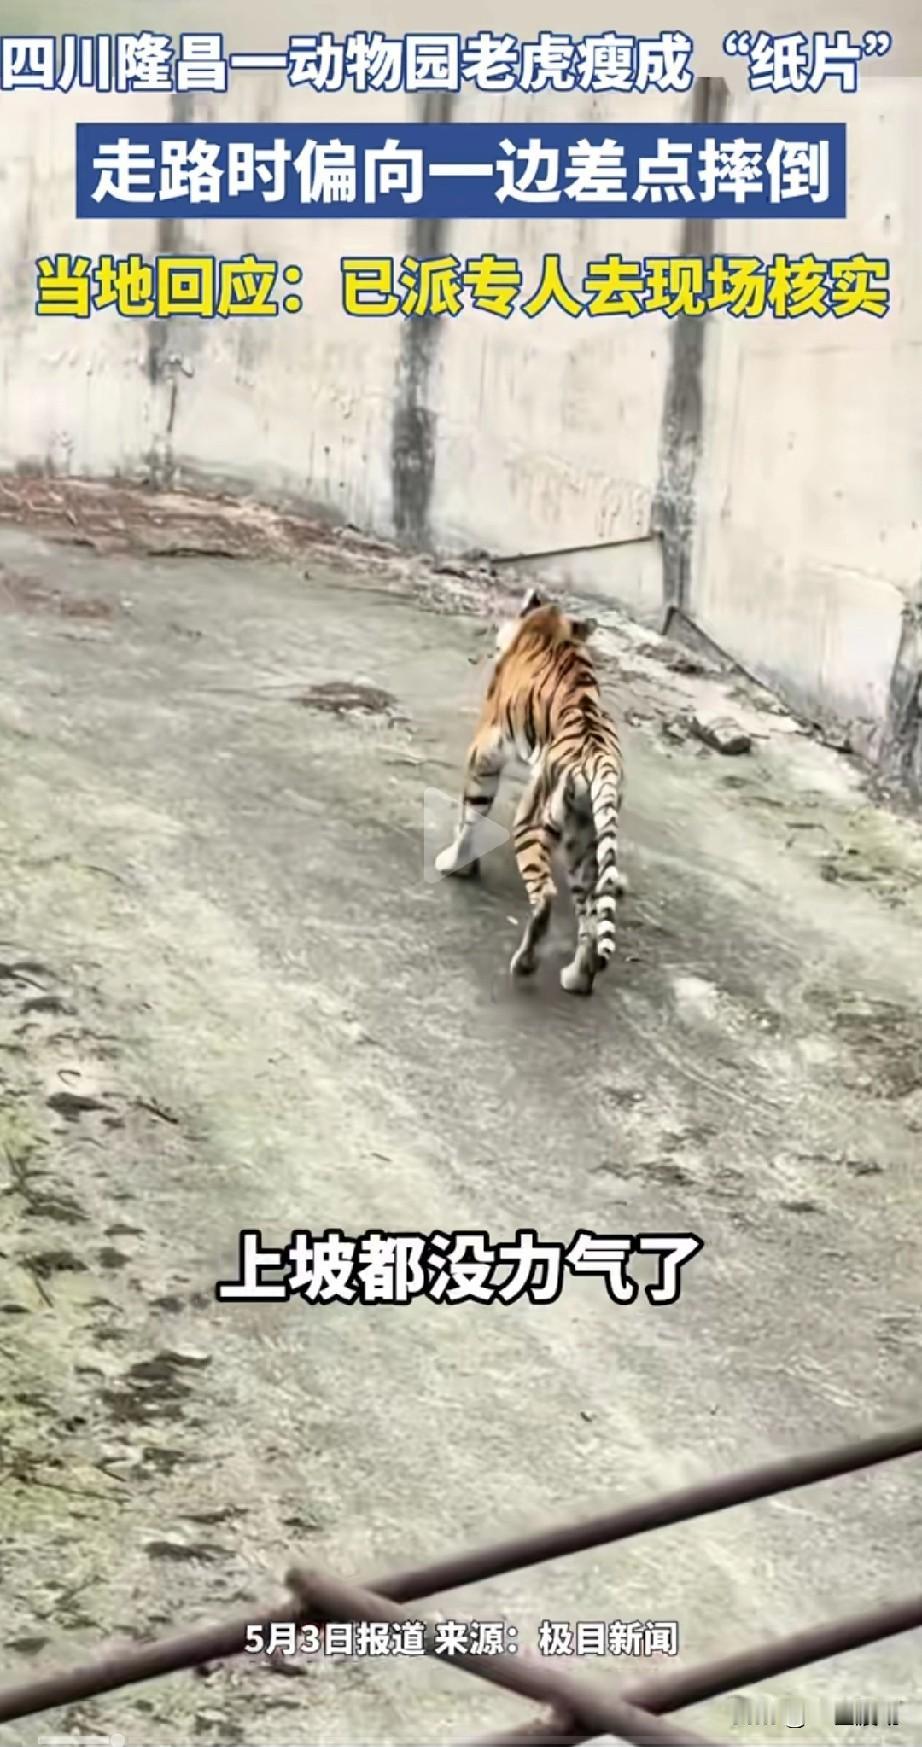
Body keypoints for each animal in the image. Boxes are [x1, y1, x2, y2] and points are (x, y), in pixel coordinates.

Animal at [435, 586, 626, 996]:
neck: (552, 624)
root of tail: (599, 759)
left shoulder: (484, 749)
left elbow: (470, 811)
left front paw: (455, 863)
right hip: (583, 839)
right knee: (590, 914)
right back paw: (577, 977)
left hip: (534, 820)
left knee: (546, 896)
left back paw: (524, 963)